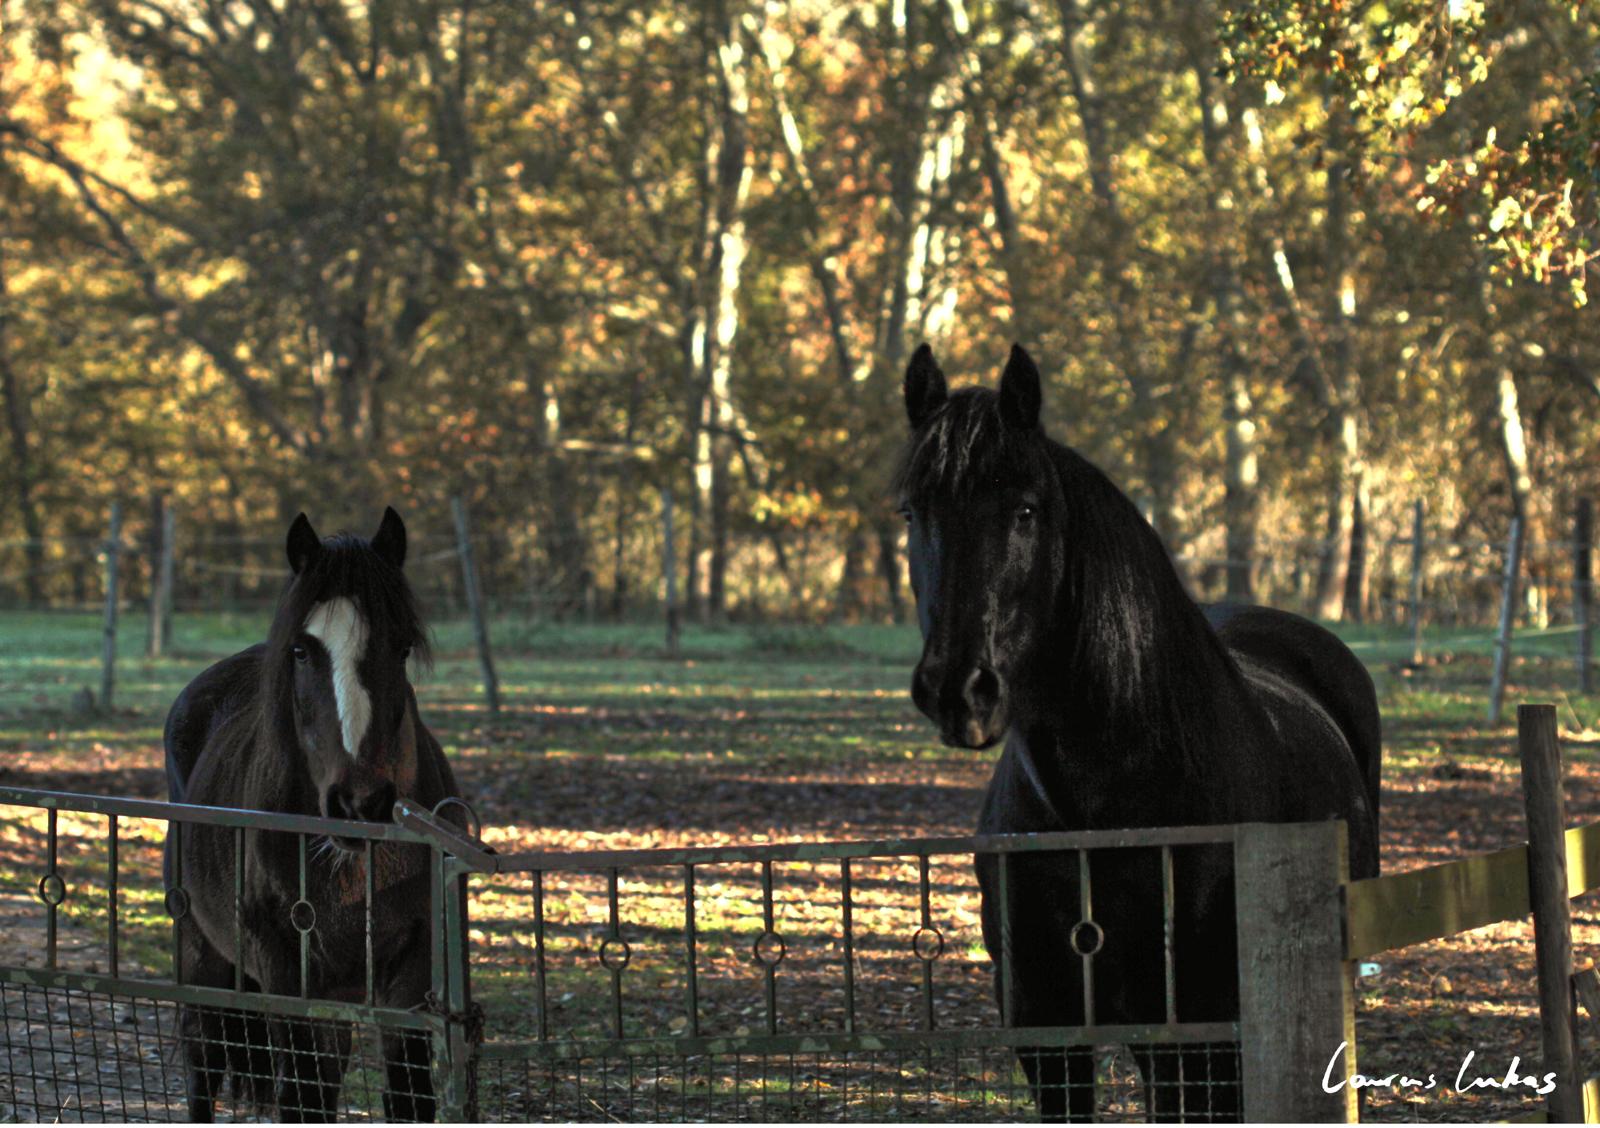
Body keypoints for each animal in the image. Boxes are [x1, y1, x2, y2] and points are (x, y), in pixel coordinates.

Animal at [162, 507, 463, 1122]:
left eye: (401, 647)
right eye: (302, 651)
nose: (359, 802)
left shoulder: (412, 972)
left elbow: (408, 1093)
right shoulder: (285, 970)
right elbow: (303, 1097)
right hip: (202, 953)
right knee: (203, 1061)